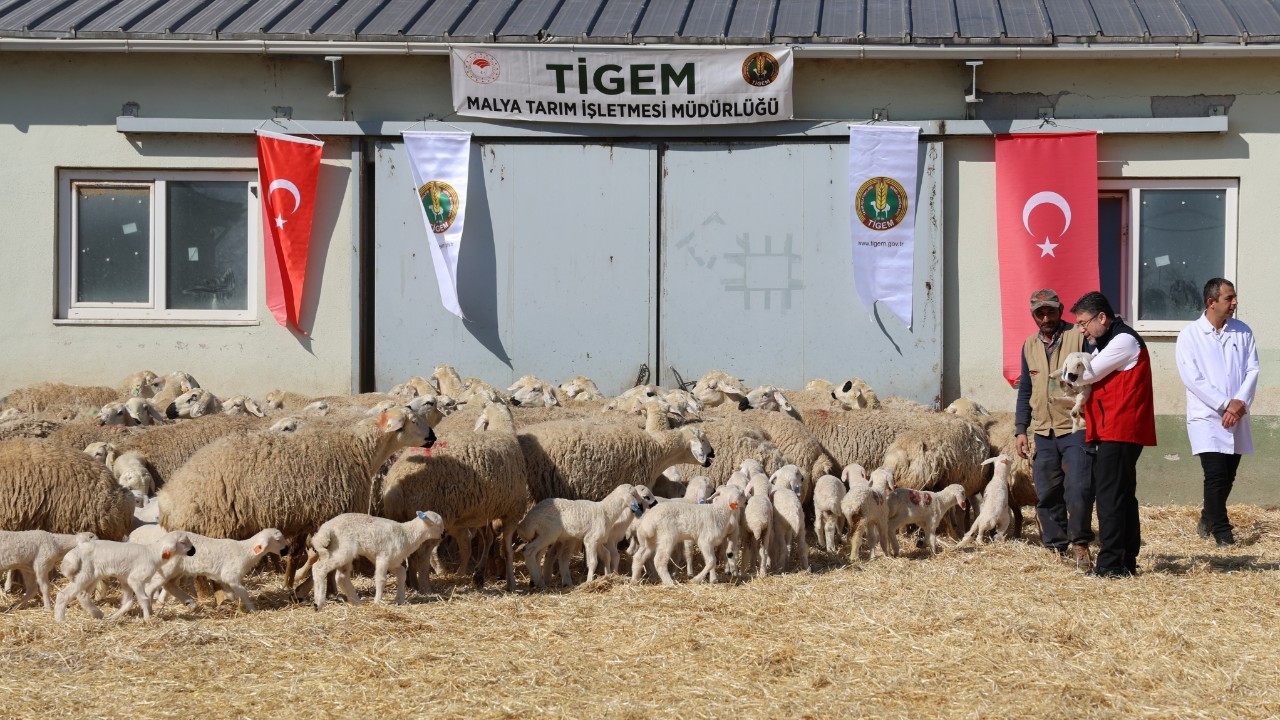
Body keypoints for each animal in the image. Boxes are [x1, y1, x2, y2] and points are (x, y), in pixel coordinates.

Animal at [53, 530, 193, 620]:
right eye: (182, 542)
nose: (193, 551)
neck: (152, 554)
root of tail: (74, 553)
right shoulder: (135, 579)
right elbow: (144, 599)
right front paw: (148, 619)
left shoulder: (125, 580)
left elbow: (128, 602)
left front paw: (113, 617)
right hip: (85, 574)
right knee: (63, 594)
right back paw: (60, 620)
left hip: (92, 576)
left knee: (83, 595)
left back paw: (98, 615)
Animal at [309, 507, 445, 607]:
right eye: (439, 525)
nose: (443, 535)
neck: (407, 534)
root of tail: (326, 528)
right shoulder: (383, 556)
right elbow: (380, 579)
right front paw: (377, 602)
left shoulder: (393, 561)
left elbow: (401, 573)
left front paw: (400, 599)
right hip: (343, 549)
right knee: (319, 568)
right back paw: (319, 603)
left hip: (338, 549)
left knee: (341, 577)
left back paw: (356, 602)